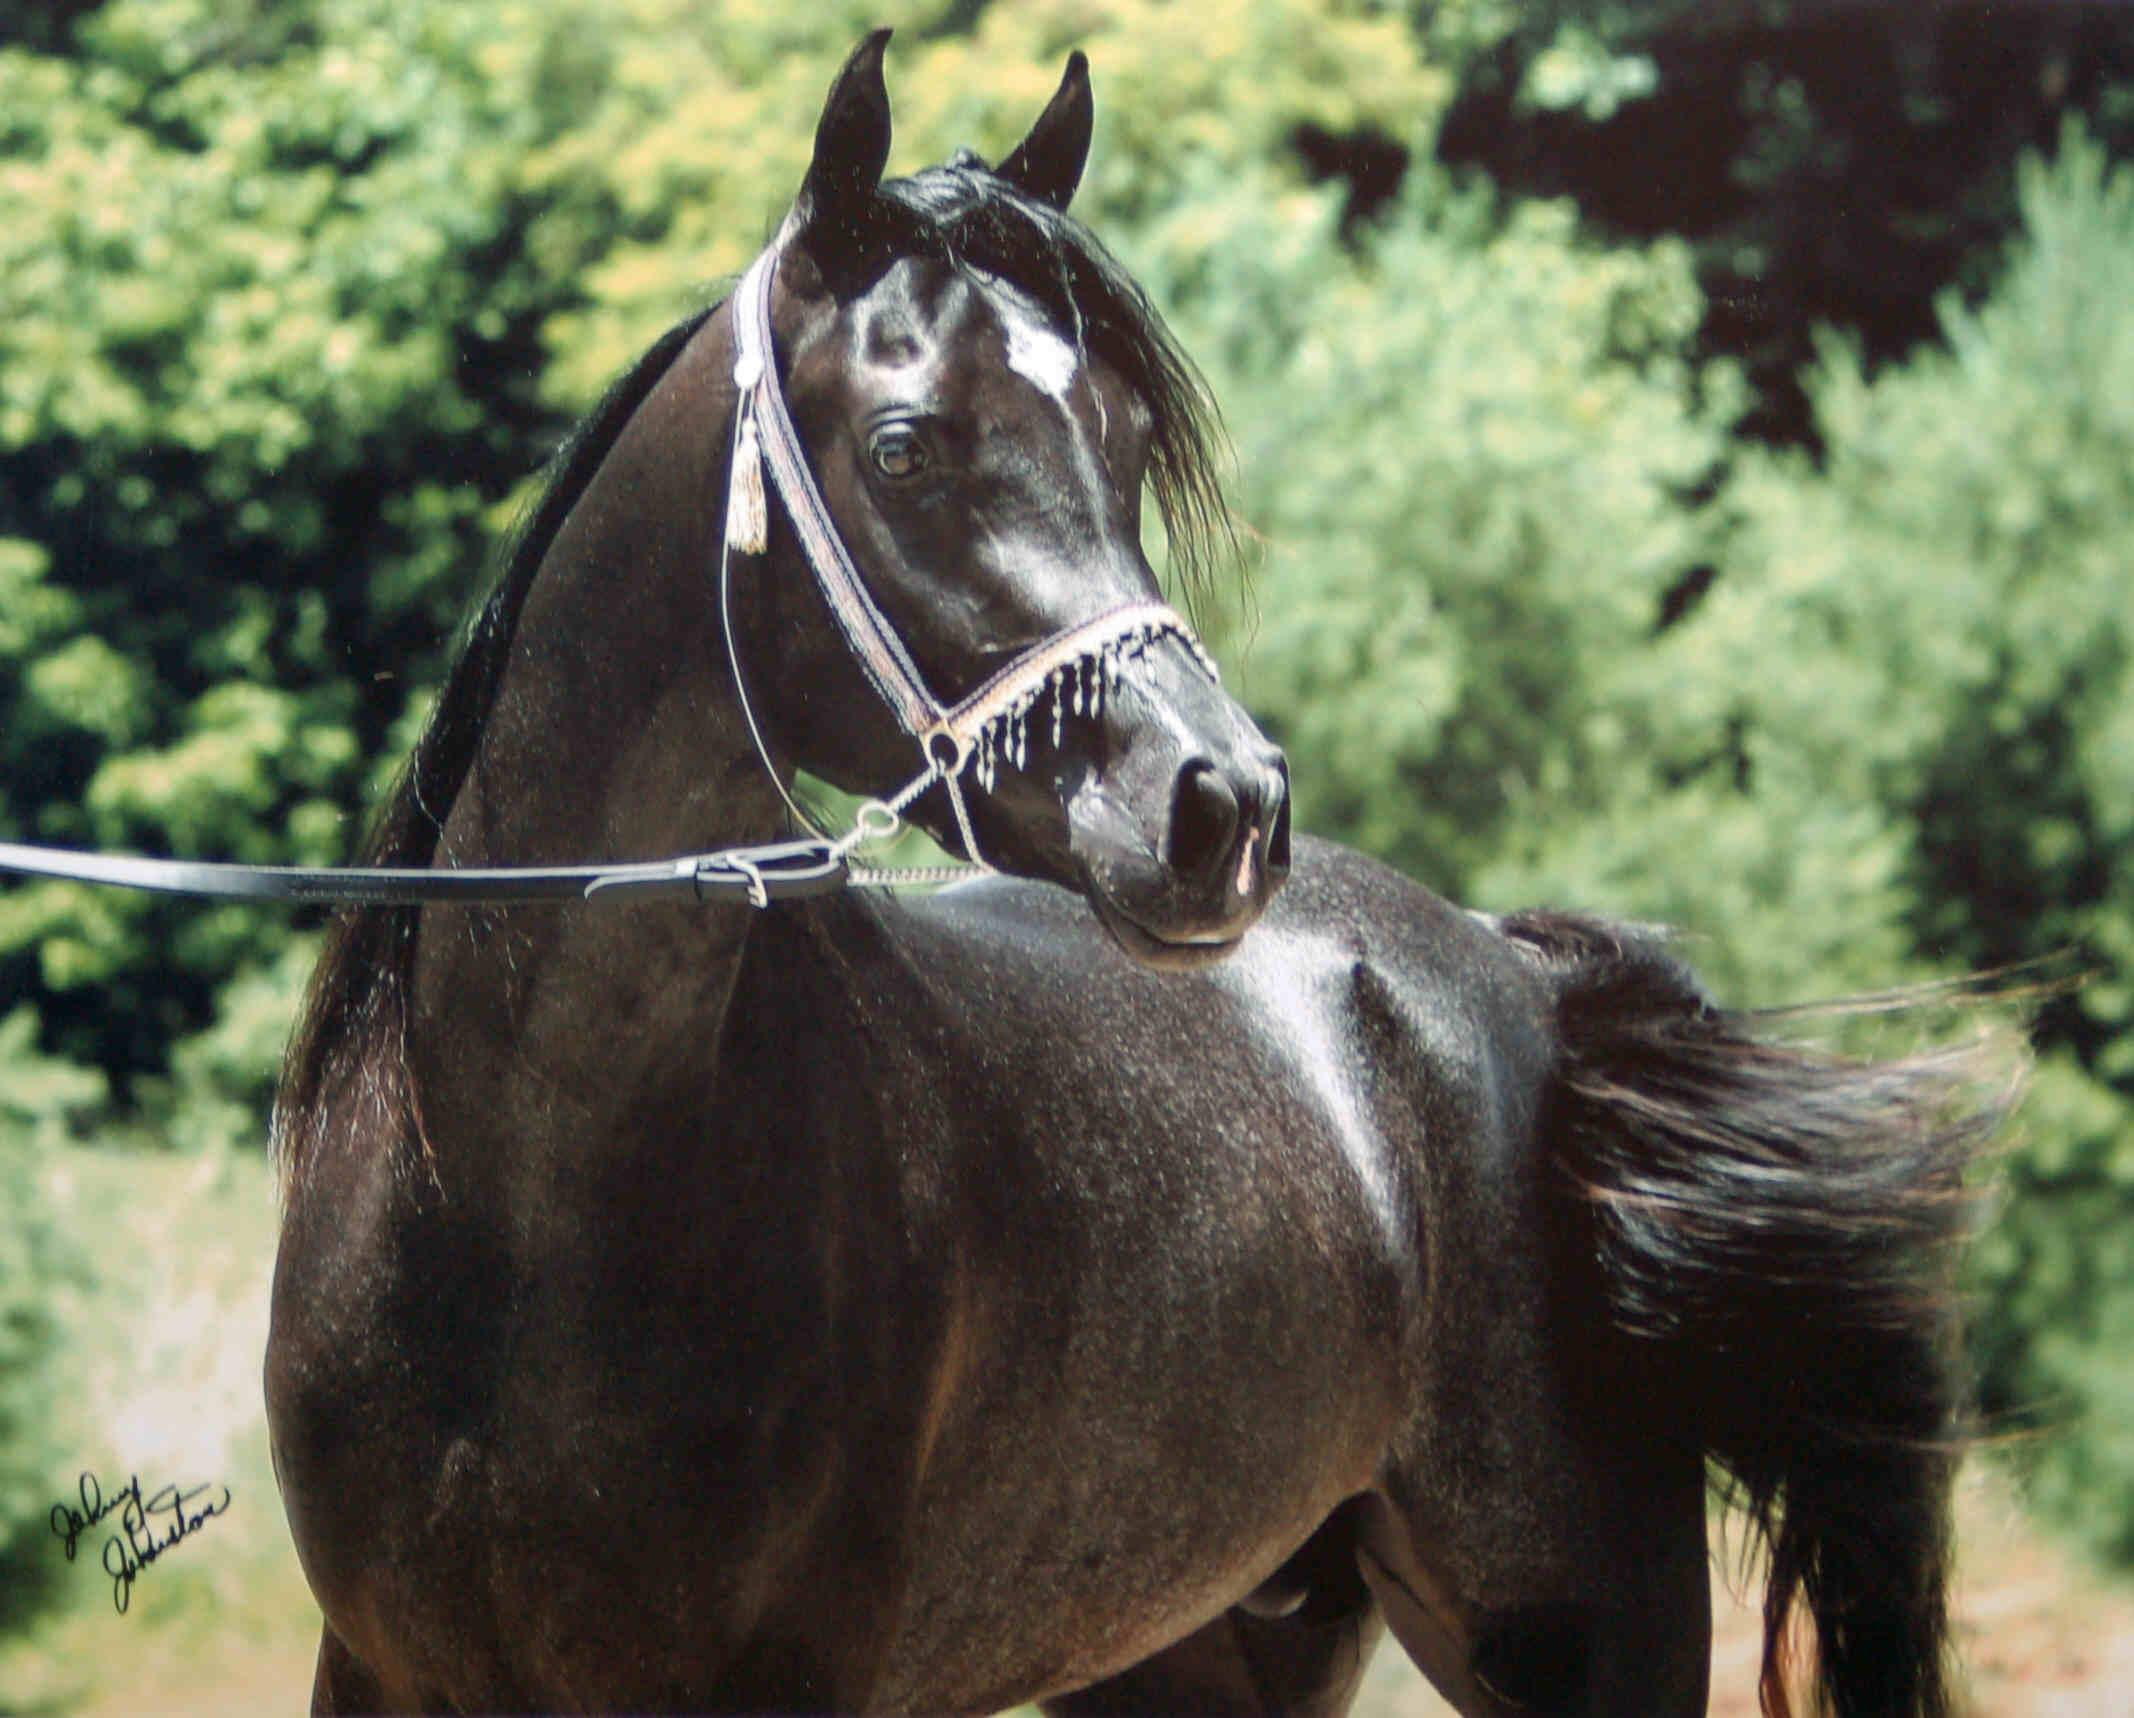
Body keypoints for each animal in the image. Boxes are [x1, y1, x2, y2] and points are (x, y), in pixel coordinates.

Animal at [265, 35, 2002, 1717]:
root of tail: (1513, 972)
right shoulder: (378, 1667)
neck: (521, 1209)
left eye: (1123, 436)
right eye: (905, 445)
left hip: (1581, 1630)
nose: (1223, 803)